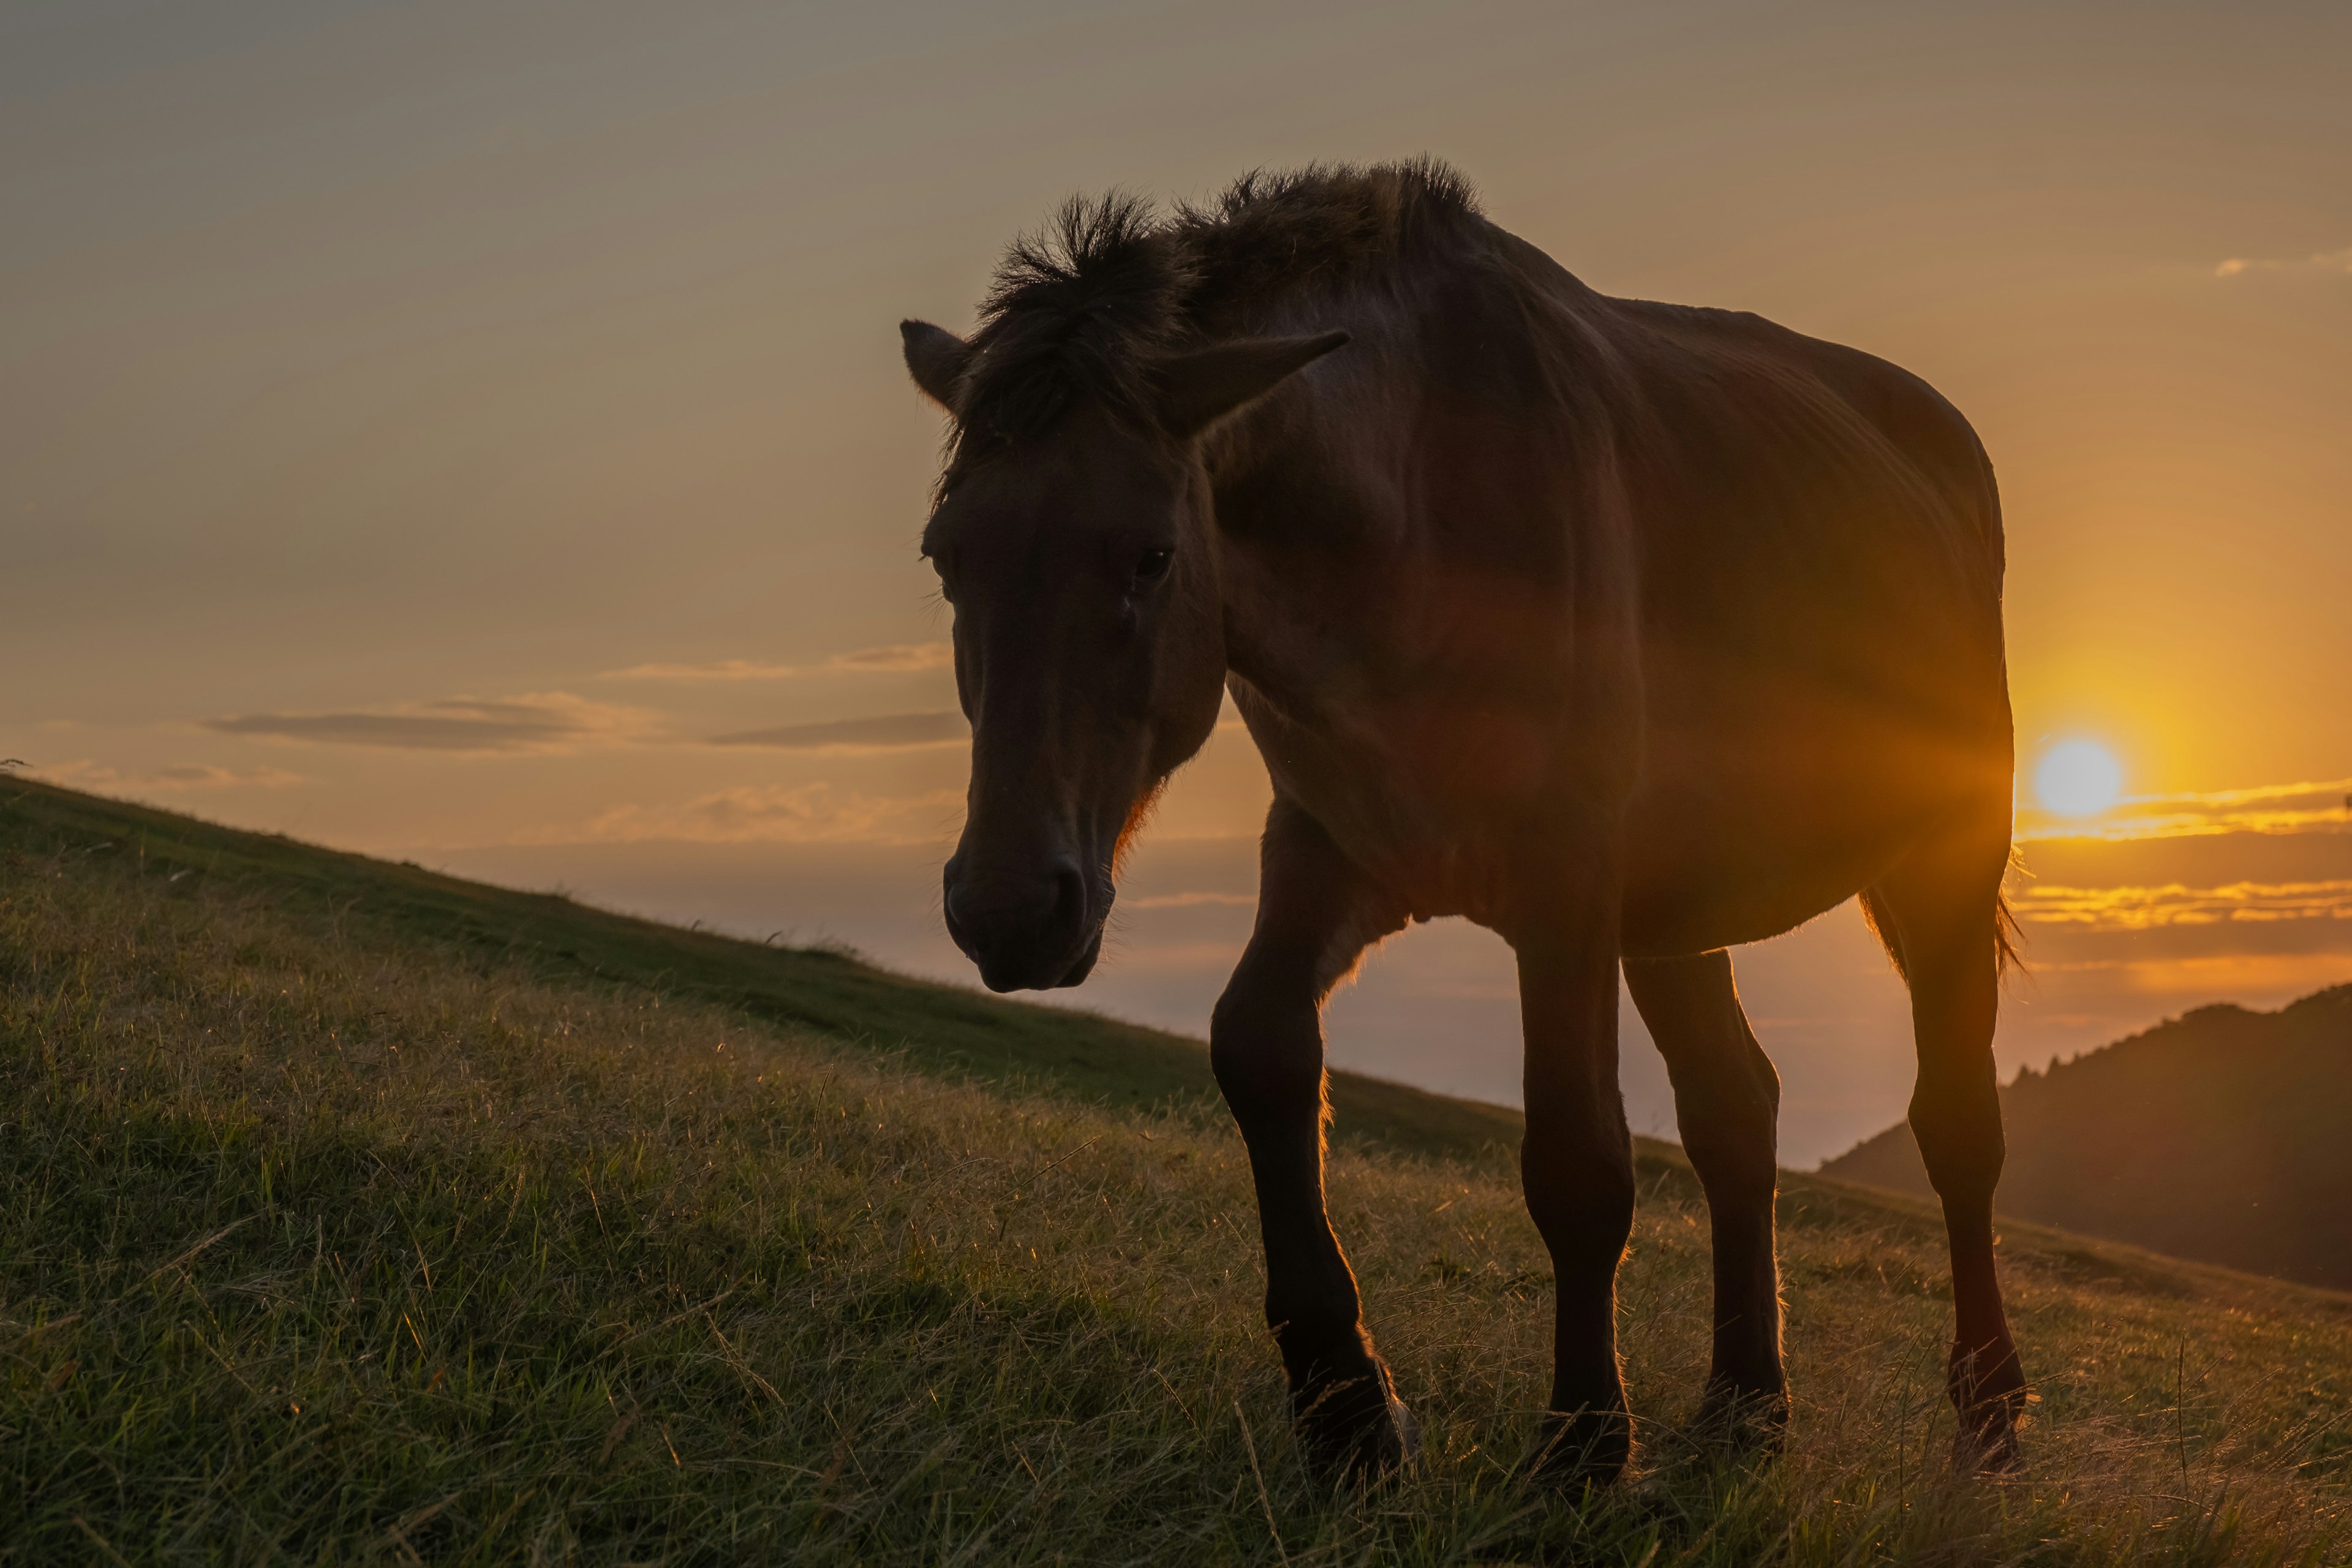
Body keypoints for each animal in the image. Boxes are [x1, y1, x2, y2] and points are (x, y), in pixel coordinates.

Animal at [898, 165, 2022, 1495]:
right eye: (946, 554)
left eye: (1152, 554)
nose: (1011, 910)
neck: (1414, 521)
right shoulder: (1333, 851)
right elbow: (1259, 1049)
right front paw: (1346, 1410)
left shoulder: (1566, 888)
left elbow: (1579, 1161)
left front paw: (1582, 1444)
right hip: (1675, 914)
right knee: (1737, 1115)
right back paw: (1745, 1407)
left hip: (1945, 858)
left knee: (1957, 1128)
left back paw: (1990, 1417)